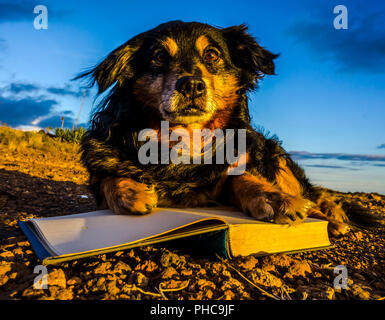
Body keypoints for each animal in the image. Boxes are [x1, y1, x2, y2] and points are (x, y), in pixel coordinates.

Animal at [76, 19, 358, 235]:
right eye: (159, 56)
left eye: (212, 54)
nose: (191, 85)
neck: (184, 139)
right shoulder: (102, 166)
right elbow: (108, 178)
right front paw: (131, 190)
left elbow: (242, 178)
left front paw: (274, 198)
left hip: (274, 157)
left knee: (315, 197)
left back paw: (333, 221)